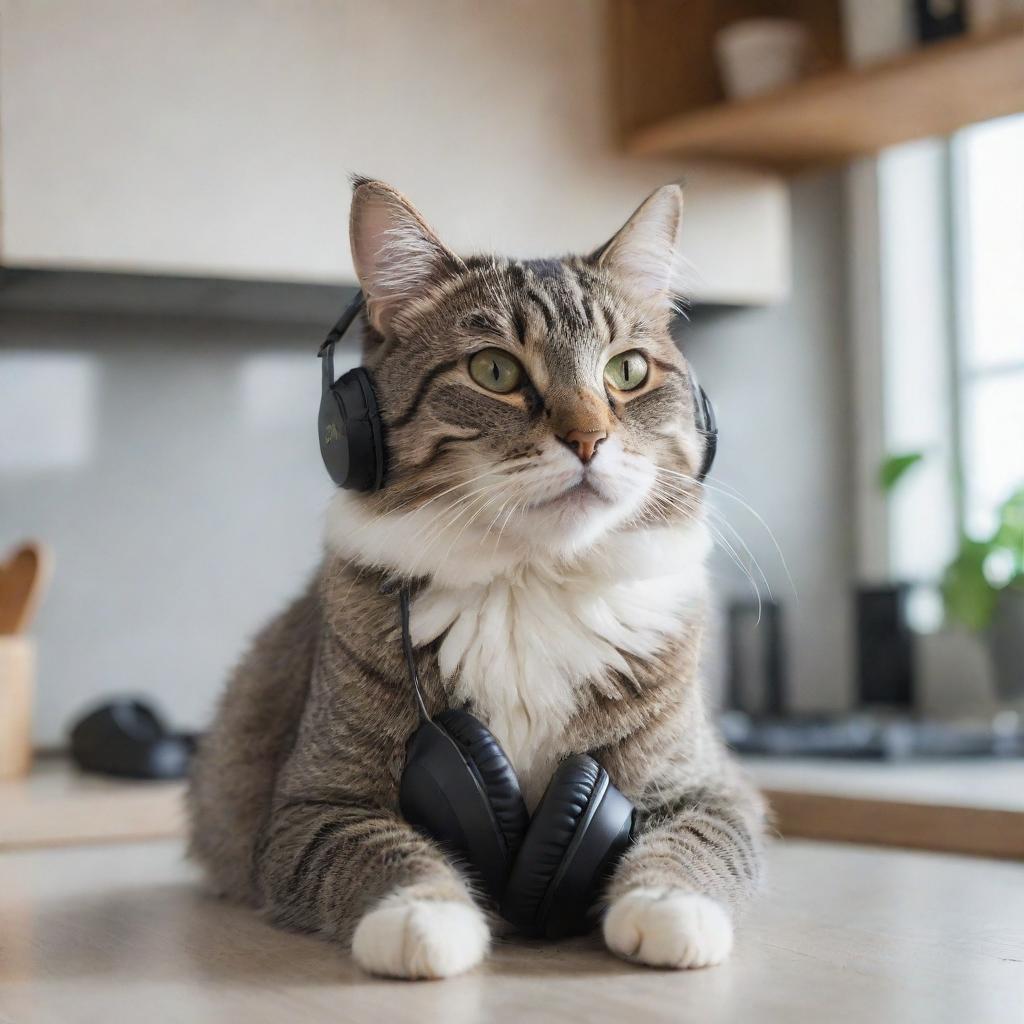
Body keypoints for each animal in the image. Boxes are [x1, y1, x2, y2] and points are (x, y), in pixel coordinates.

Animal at [188, 180, 765, 978]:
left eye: (627, 371)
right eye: (495, 371)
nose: (589, 439)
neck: (529, 581)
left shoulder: (713, 788)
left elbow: (695, 842)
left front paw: (666, 908)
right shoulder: (311, 806)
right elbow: (382, 851)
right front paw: (423, 917)